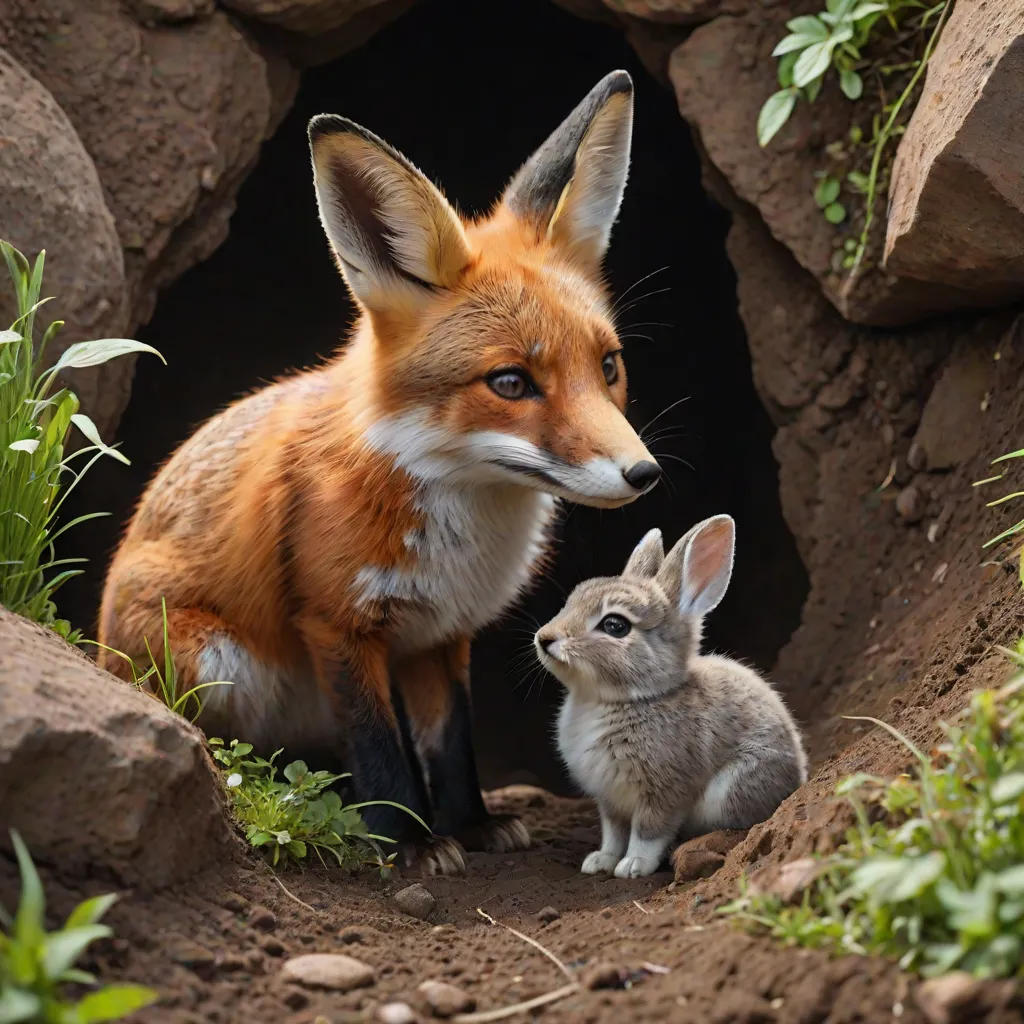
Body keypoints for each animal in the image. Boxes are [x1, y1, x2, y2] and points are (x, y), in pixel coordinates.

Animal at [534, 514, 808, 878]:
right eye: (572, 600)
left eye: (615, 625)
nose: (544, 638)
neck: (627, 699)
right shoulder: (610, 802)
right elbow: (613, 833)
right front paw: (600, 861)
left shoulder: (664, 792)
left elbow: (648, 832)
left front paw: (632, 866)